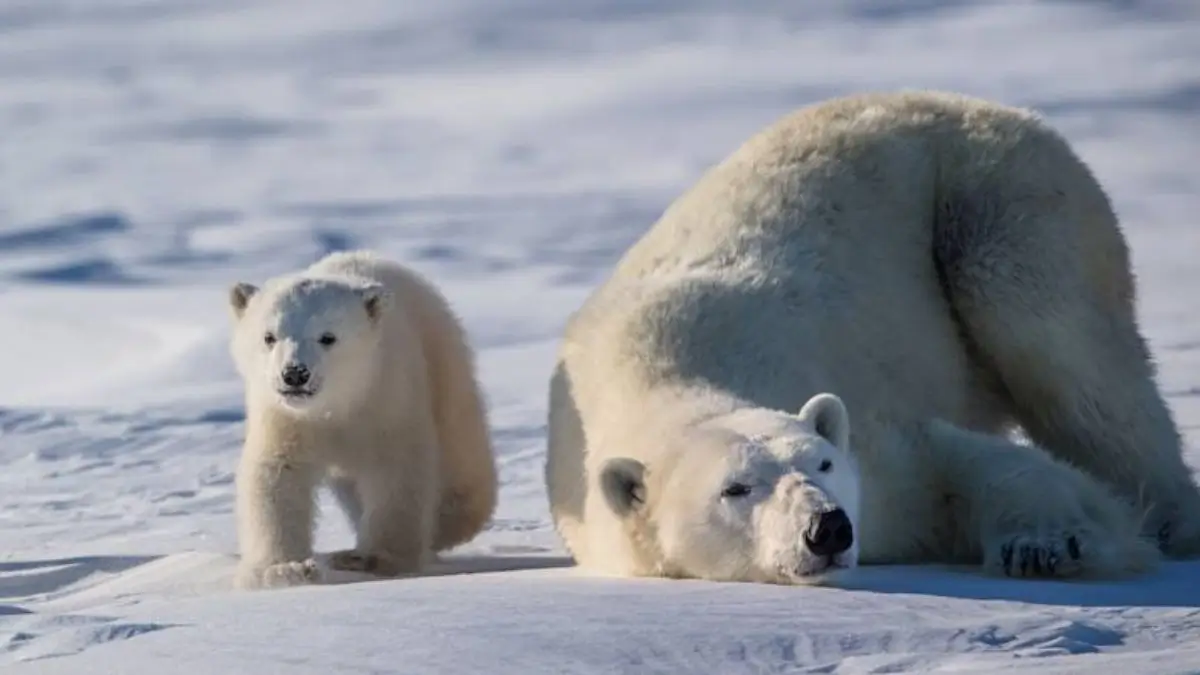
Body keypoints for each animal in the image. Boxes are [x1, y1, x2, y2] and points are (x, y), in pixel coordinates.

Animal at [228, 250, 498, 590]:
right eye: (268, 336)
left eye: (328, 337)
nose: (294, 374)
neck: (338, 405)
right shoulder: (284, 418)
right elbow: (277, 476)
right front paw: (285, 568)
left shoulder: (388, 400)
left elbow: (396, 473)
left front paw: (372, 558)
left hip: (444, 365)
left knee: (460, 455)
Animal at [545, 90, 1200, 585]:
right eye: (735, 488)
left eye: (824, 461)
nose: (827, 527)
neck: (665, 379)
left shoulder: (875, 447)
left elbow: (952, 461)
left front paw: (1047, 545)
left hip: (995, 197)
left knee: (1068, 354)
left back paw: (1170, 519)